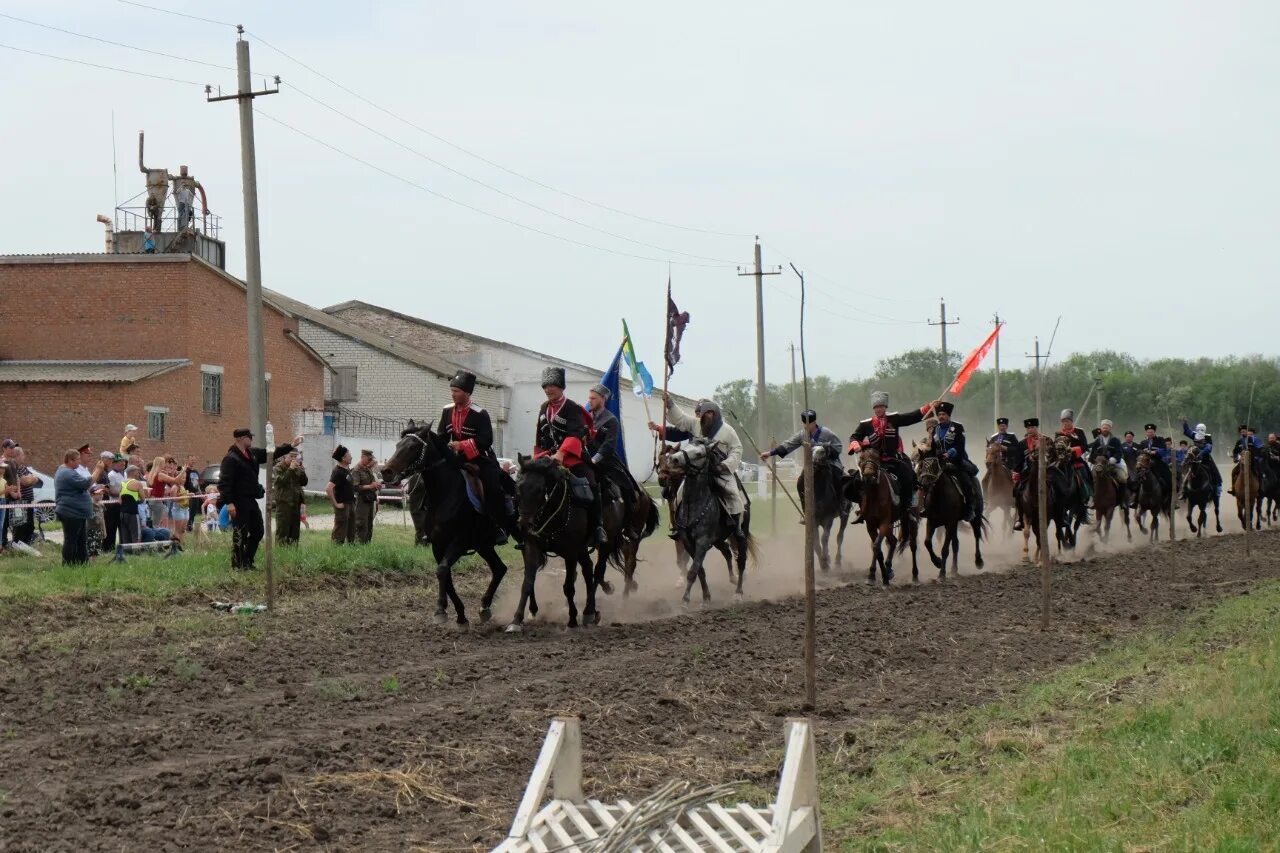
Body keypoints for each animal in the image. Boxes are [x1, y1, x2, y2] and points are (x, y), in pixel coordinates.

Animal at [381, 427, 512, 622]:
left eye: (413, 447)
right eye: (398, 445)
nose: (386, 471)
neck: (446, 495)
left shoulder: (459, 543)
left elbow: (442, 570)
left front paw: (440, 609)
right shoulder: (438, 545)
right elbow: (445, 575)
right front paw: (460, 615)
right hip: (484, 545)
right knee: (499, 569)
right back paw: (484, 607)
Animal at [506, 455, 601, 627]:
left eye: (540, 490)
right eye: (518, 488)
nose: (524, 524)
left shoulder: (571, 552)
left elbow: (569, 587)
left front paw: (572, 619)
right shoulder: (532, 547)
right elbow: (527, 583)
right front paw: (516, 619)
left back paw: (589, 611)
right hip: (582, 549)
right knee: (588, 568)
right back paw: (589, 611)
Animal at [660, 438, 747, 604]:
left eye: (699, 454)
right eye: (687, 446)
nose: (673, 460)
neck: (694, 505)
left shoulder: (702, 541)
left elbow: (693, 570)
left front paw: (685, 600)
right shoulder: (688, 542)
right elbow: (699, 569)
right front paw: (706, 596)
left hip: (740, 535)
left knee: (741, 559)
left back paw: (739, 592)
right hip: (718, 539)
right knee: (727, 552)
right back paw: (732, 579)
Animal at [855, 445, 916, 584]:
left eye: (877, 458)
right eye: (862, 458)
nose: (868, 476)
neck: (875, 496)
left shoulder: (884, 522)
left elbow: (876, 546)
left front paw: (880, 577)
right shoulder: (871, 525)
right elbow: (876, 548)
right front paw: (874, 575)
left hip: (910, 519)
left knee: (912, 545)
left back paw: (915, 575)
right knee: (892, 541)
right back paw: (888, 570)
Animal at [916, 445, 983, 578]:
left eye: (935, 465)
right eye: (922, 465)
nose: (924, 484)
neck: (939, 496)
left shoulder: (950, 522)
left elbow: (945, 549)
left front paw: (941, 573)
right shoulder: (932, 521)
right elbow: (927, 543)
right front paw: (937, 562)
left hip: (975, 517)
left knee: (977, 535)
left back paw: (978, 561)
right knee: (956, 544)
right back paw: (954, 569)